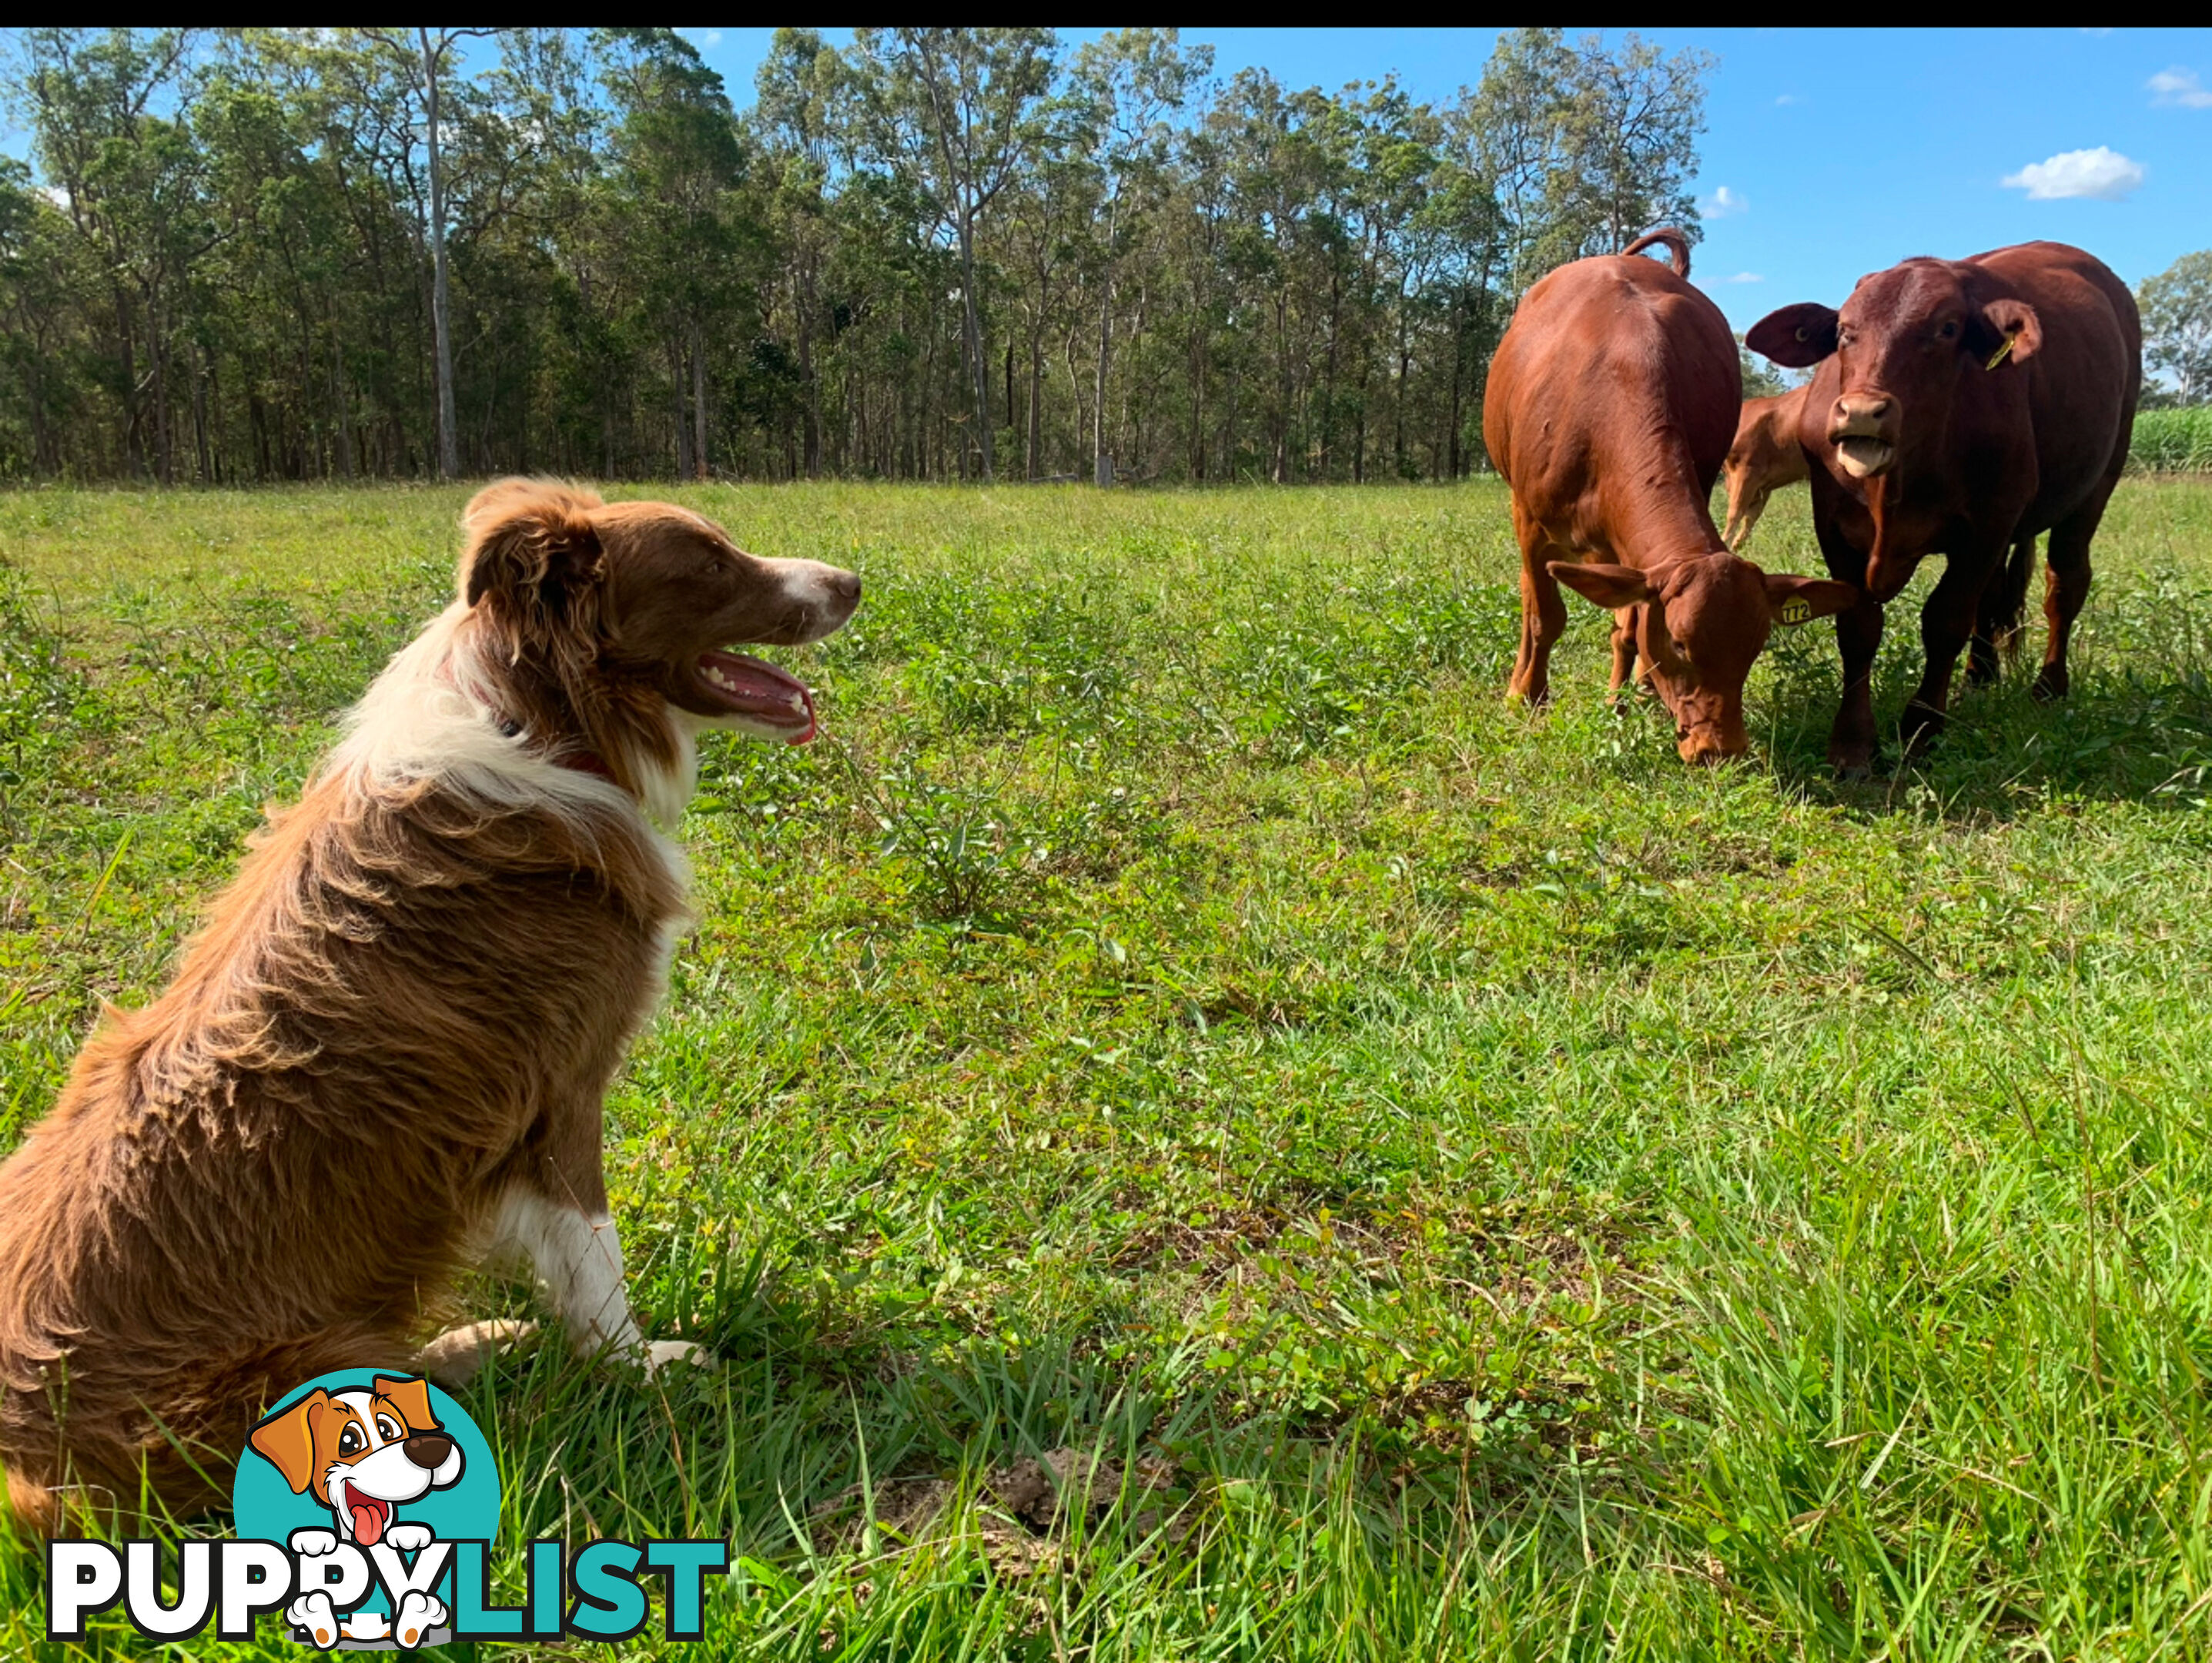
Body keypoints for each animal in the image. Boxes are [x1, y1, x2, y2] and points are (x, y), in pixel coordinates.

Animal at [0, 477, 858, 1530]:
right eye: (705, 561)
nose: (852, 583)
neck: (551, 724)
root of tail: (29, 1471)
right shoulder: (563, 1087)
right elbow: (595, 1257)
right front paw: (637, 1368)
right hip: (293, 1371)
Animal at [1742, 243, 2141, 778]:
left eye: (1947, 329)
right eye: (1844, 331)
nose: (1862, 412)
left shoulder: (1987, 526)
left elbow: (1945, 621)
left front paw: (1922, 728)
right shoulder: (1834, 529)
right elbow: (1858, 628)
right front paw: (1852, 743)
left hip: (2097, 483)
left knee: (2065, 583)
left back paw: (2048, 688)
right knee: (1993, 597)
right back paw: (1979, 678)